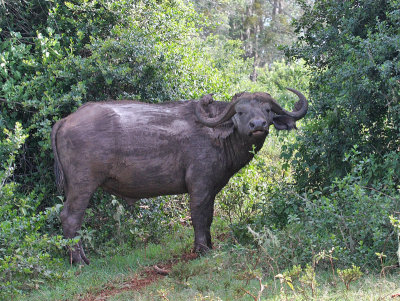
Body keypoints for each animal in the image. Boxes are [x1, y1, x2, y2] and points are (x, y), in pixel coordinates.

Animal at [51, 87, 308, 262]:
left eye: (267, 110)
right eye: (241, 111)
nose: (258, 125)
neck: (216, 134)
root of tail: (65, 120)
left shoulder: (212, 189)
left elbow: (209, 216)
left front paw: (210, 245)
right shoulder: (199, 186)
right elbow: (199, 216)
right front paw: (202, 249)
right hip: (82, 184)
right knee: (70, 218)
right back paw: (79, 260)